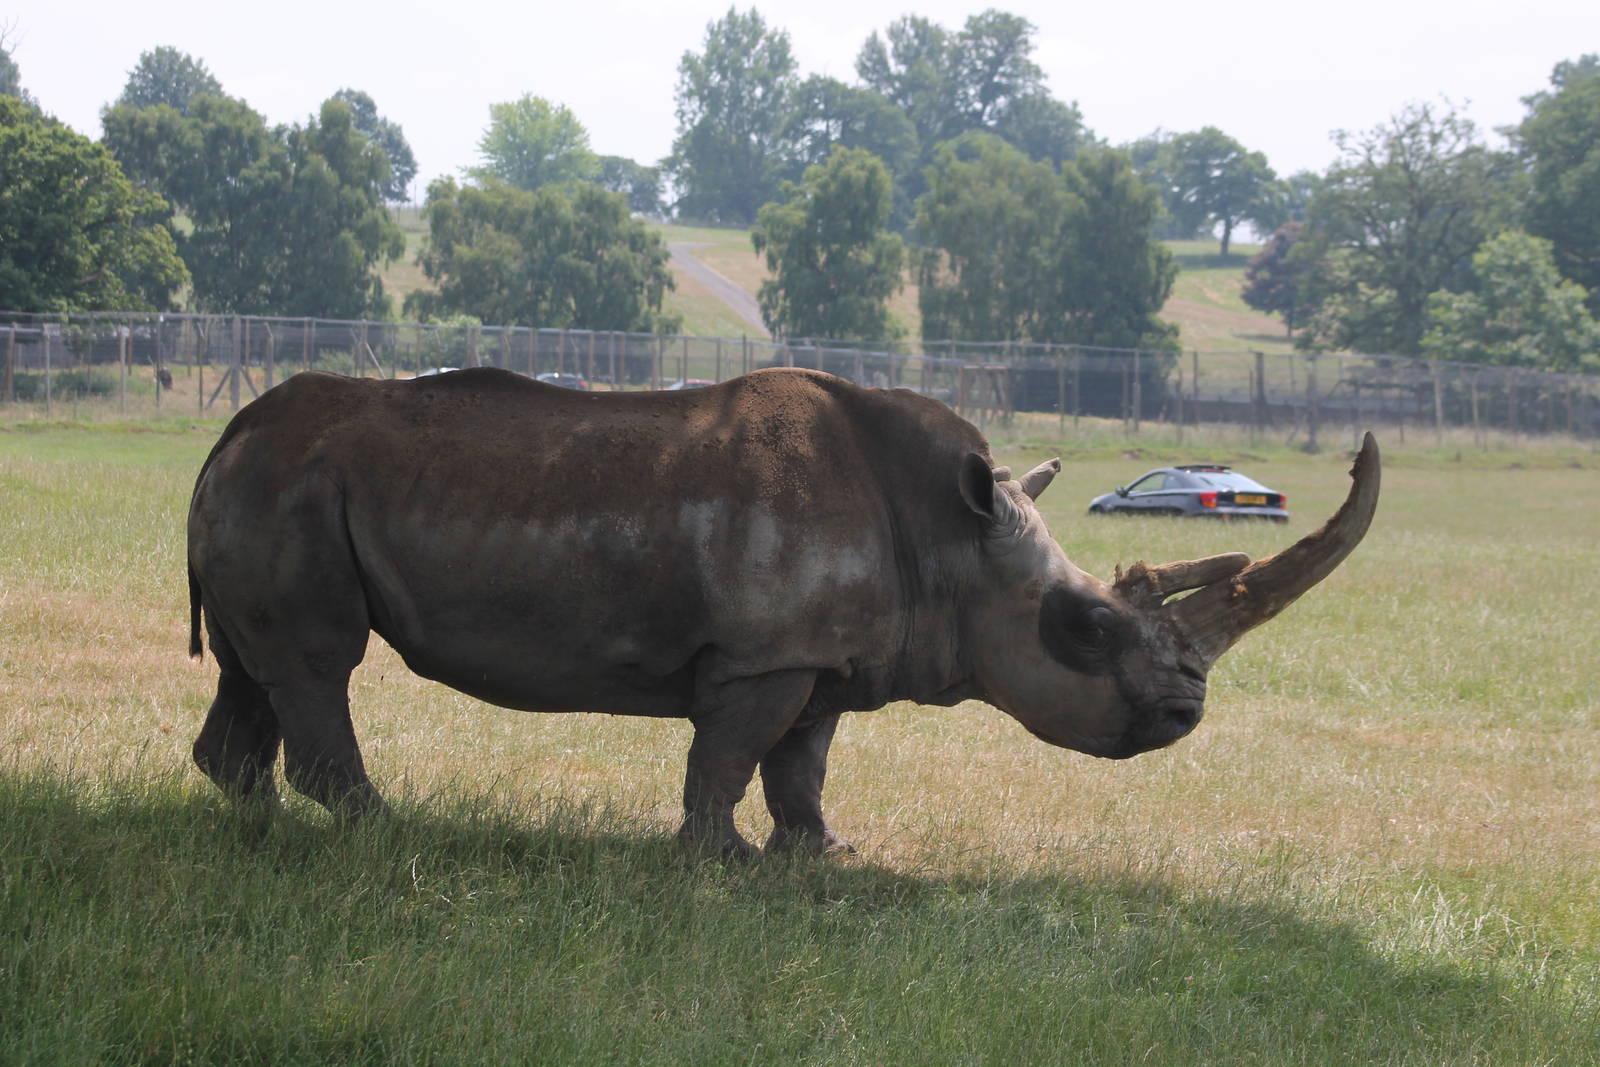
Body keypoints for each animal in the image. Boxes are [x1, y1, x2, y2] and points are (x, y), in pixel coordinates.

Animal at [187, 367, 1379, 856]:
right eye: (1085, 629)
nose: (1185, 711)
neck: (950, 541)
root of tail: (227, 435)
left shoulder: (830, 654)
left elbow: (801, 762)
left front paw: (824, 855)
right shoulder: (764, 654)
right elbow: (728, 754)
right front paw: (719, 863)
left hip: (280, 485)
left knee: (257, 667)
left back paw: (251, 821)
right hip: (295, 484)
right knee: (319, 663)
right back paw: (381, 828)